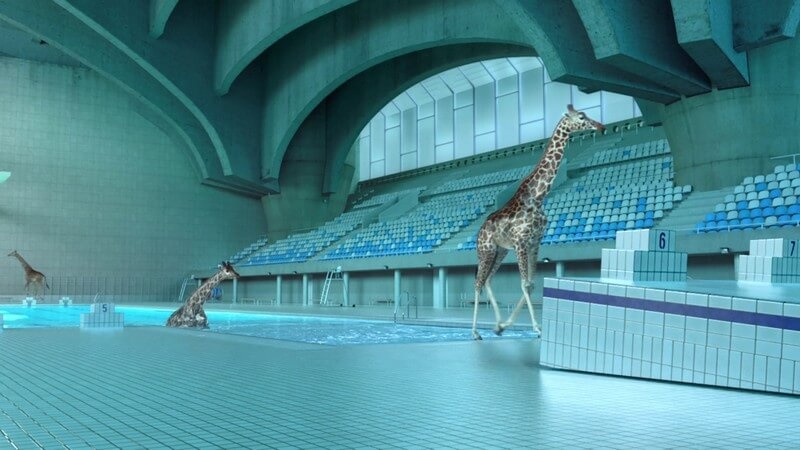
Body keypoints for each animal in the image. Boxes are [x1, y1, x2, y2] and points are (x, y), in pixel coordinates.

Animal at [471, 105, 604, 340]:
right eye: (581, 116)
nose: (601, 126)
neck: (538, 196)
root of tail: (480, 231)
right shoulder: (521, 242)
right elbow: (525, 284)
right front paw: (536, 328)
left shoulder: (534, 242)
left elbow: (531, 284)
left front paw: (508, 325)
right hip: (486, 250)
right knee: (477, 284)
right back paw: (476, 331)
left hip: (500, 251)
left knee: (487, 280)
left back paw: (496, 325)